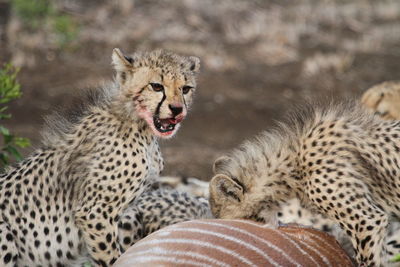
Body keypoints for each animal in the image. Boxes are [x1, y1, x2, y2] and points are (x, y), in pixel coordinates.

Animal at [0, 48, 200, 267]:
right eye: (156, 86)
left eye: (186, 89)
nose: (177, 109)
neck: (136, 123)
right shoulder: (95, 213)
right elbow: (113, 258)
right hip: (5, 233)